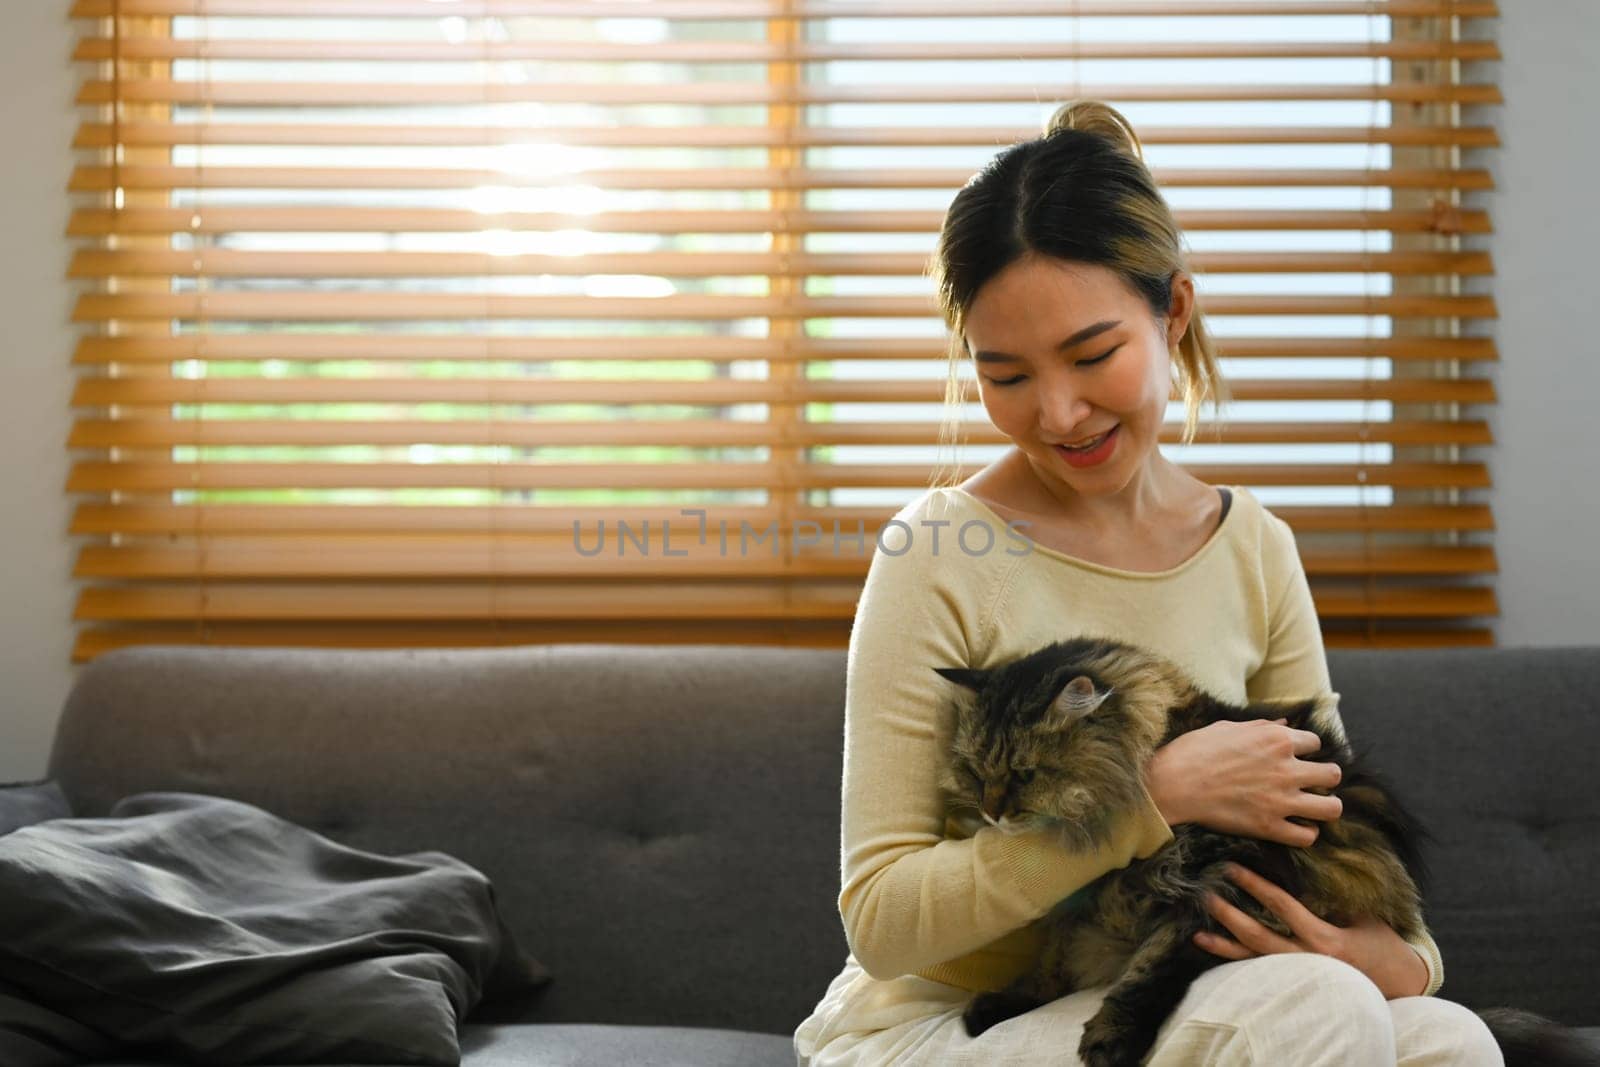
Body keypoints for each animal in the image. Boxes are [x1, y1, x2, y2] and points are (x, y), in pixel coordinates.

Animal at [934, 639, 1593, 1062]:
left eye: (1024, 775)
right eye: (976, 772)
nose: (992, 812)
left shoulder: (1219, 890)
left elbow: (1145, 977)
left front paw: (1109, 1039)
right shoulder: (1088, 910)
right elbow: (1047, 966)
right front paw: (998, 1006)